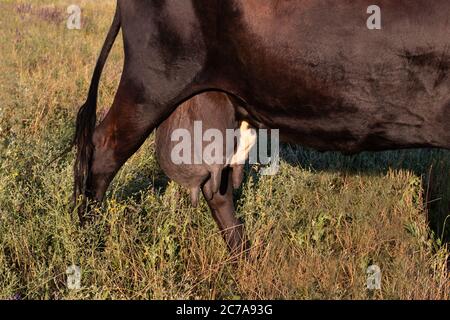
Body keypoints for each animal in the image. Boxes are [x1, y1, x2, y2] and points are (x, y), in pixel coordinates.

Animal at [75, 0, 450, 255]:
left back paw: (243, 258)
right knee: (102, 151)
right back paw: (87, 241)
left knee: (217, 184)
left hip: (220, 101)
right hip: (152, 82)